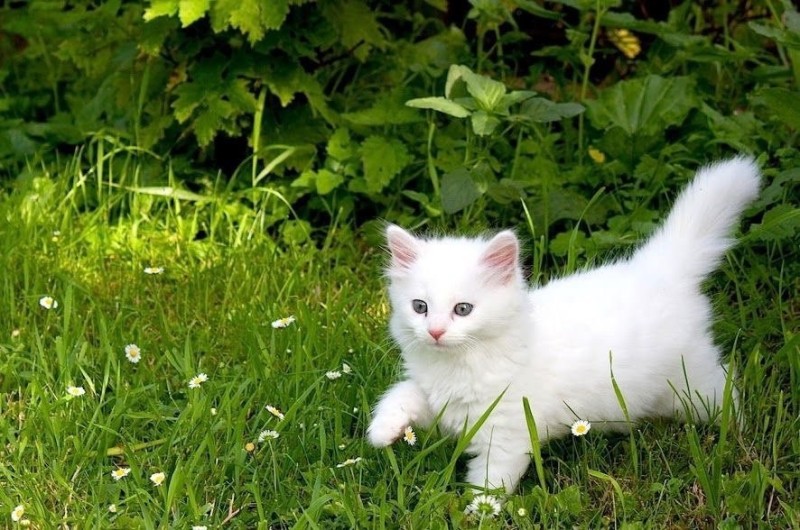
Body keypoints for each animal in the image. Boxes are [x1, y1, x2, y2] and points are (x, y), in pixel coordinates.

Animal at [366, 156, 760, 490]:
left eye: (463, 309)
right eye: (420, 307)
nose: (434, 331)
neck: (461, 365)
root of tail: (659, 268)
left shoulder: (505, 433)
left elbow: (491, 481)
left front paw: (477, 511)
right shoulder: (437, 399)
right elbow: (400, 395)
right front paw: (382, 431)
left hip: (691, 383)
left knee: (727, 390)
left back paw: (739, 435)